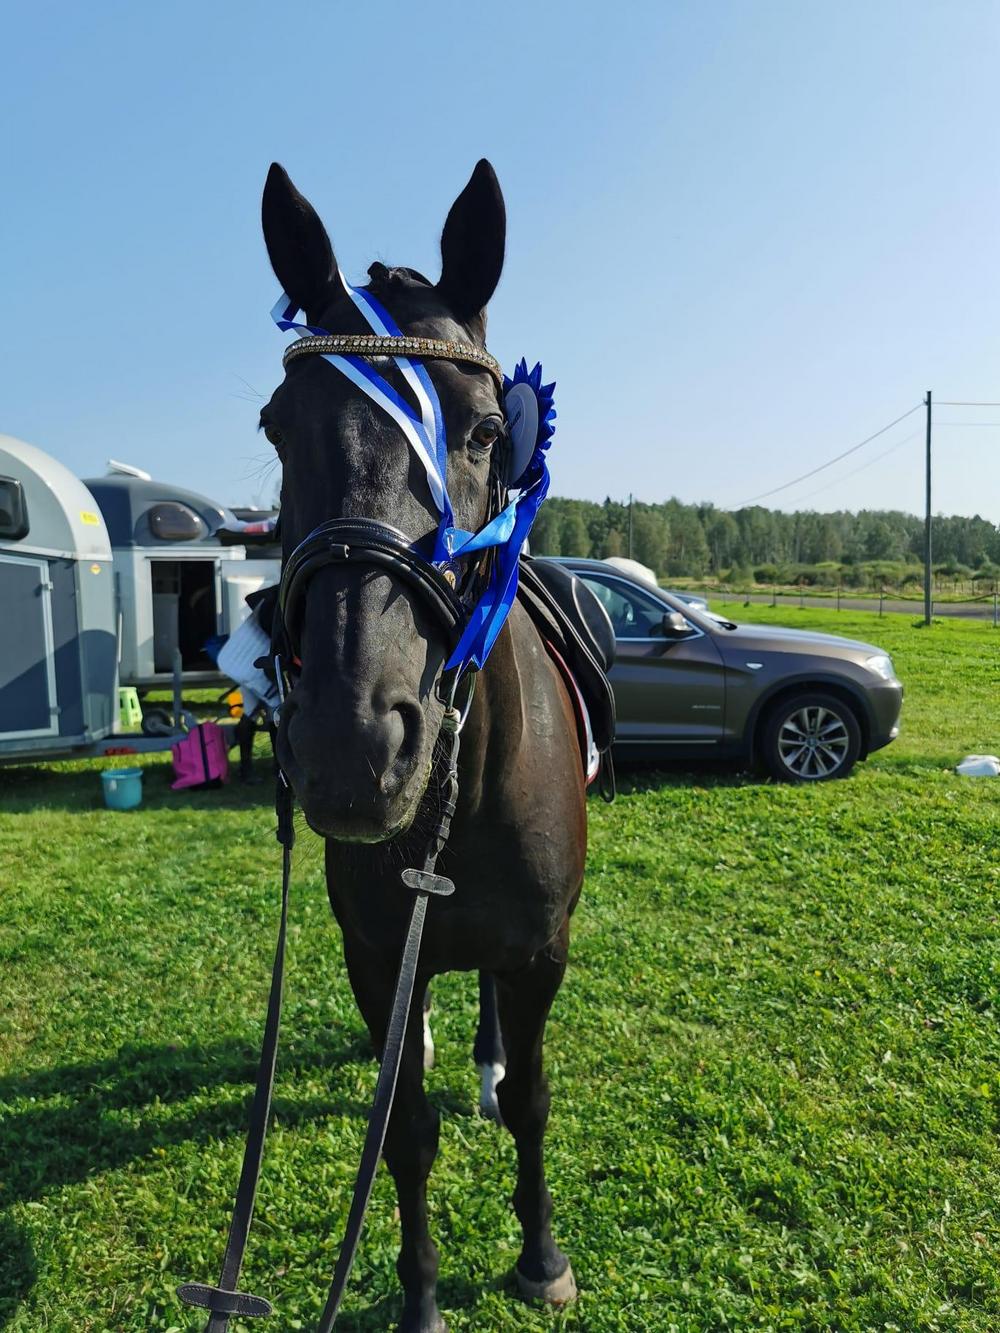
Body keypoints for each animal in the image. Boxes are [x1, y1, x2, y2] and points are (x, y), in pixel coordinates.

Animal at [260, 158, 587, 1332]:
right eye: (276, 427)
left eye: (488, 431)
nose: (356, 743)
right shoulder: (371, 951)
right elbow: (402, 1133)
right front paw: (421, 1295)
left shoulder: (541, 950)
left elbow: (534, 1101)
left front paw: (539, 1257)